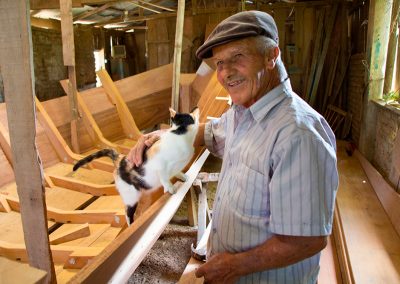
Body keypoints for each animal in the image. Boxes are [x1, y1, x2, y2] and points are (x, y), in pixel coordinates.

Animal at [72, 107, 200, 226]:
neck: (179, 134)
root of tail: (120, 159)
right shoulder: (159, 164)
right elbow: (164, 177)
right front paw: (170, 188)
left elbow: (175, 171)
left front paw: (182, 176)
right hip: (131, 197)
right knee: (127, 213)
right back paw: (131, 224)